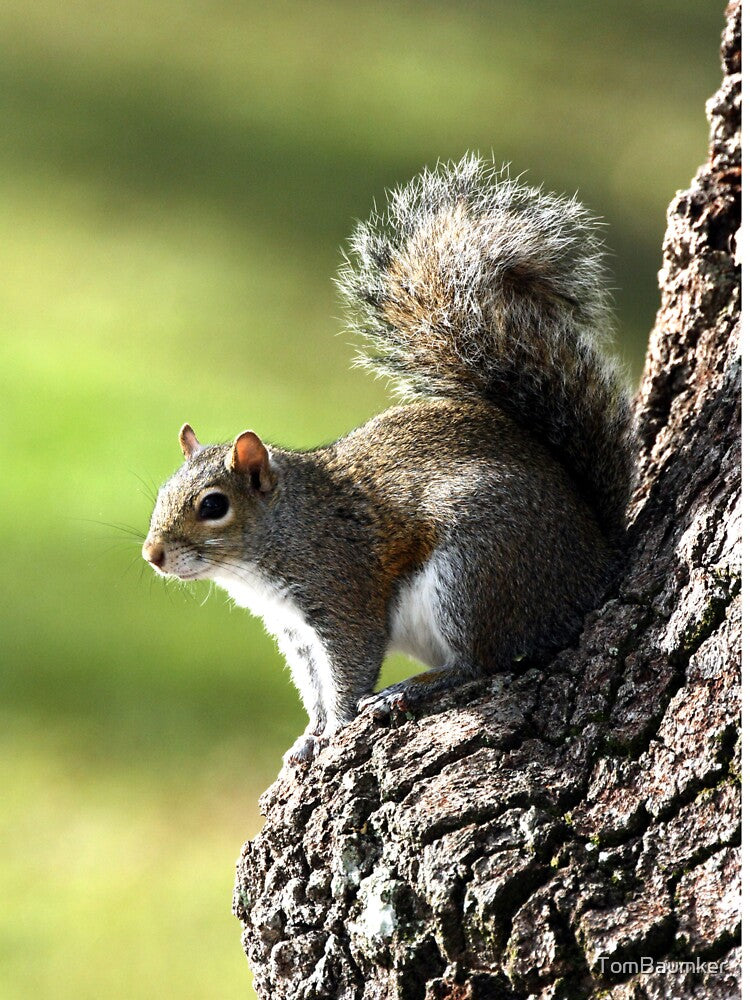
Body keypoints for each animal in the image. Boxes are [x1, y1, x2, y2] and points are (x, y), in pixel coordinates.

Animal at [142, 156, 634, 766]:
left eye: (213, 506)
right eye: (162, 493)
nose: (153, 555)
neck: (286, 529)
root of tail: (593, 565)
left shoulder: (343, 591)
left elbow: (348, 672)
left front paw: (337, 729)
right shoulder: (295, 633)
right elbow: (313, 686)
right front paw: (308, 735)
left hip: (478, 568)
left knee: (482, 661)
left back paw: (411, 689)